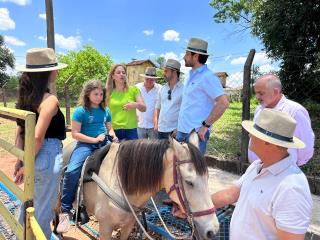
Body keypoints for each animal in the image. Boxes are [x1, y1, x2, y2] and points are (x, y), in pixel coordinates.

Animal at [61, 133, 219, 240]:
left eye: (207, 178)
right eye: (189, 182)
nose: (213, 230)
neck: (119, 183)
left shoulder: (128, 225)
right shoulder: (105, 226)